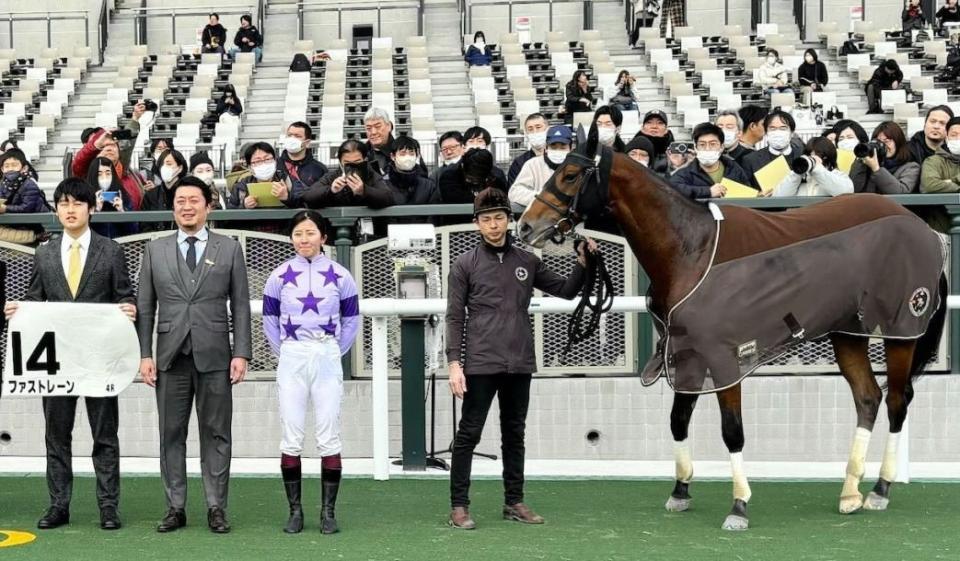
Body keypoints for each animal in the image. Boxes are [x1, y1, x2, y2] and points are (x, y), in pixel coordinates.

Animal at [516, 126, 944, 528]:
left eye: (571, 174)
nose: (524, 226)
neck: (692, 250)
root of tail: (922, 228)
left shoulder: (725, 357)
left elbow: (731, 430)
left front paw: (739, 506)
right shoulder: (686, 351)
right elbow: (678, 420)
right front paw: (680, 491)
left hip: (900, 330)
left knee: (897, 400)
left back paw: (880, 489)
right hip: (847, 334)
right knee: (868, 398)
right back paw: (850, 491)